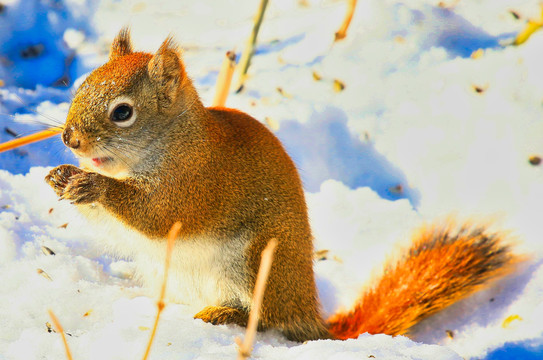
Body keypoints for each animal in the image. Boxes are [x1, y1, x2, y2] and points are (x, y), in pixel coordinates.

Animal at [45, 28, 524, 344]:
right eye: (82, 84)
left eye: (123, 112)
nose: (70, 139)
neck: (170, 141)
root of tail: (310, 314)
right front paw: (60, 178)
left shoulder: (195, 181)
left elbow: (159, 216)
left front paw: (94, 185)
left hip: (255, 262)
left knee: (266, 318)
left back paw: (226, 313)